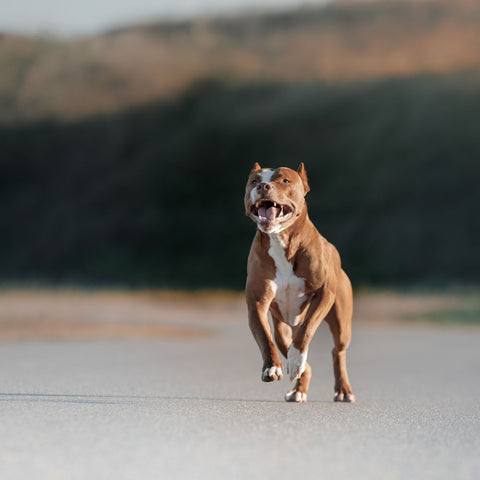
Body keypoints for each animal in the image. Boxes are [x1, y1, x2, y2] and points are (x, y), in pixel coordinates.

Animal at [246, 163, 354, 404]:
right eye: (254, 181)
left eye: (284, 180)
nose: (263, 186)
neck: (281, 240)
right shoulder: (257, 302)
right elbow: (264, 336)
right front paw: (272, 368)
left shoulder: (324, 294)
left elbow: (306, 330)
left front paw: (296, 359)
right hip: (283, 329)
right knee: (291, 349)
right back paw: (298, 389)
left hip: (341, 321)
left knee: (338, 351)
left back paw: (343, 390)